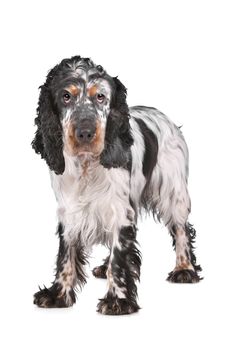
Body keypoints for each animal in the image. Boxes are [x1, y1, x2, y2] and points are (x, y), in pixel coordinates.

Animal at [31, 55, 201, 314]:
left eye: (101, 96)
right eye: (66, 96)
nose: (85, 133)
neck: (86, 166)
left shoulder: (120, 210)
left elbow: (119, 256)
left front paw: (118, 300)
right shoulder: (69, 210)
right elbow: (66, 254)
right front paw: (57, 294)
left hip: (174, 192)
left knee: (181, 229)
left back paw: (184, 269)